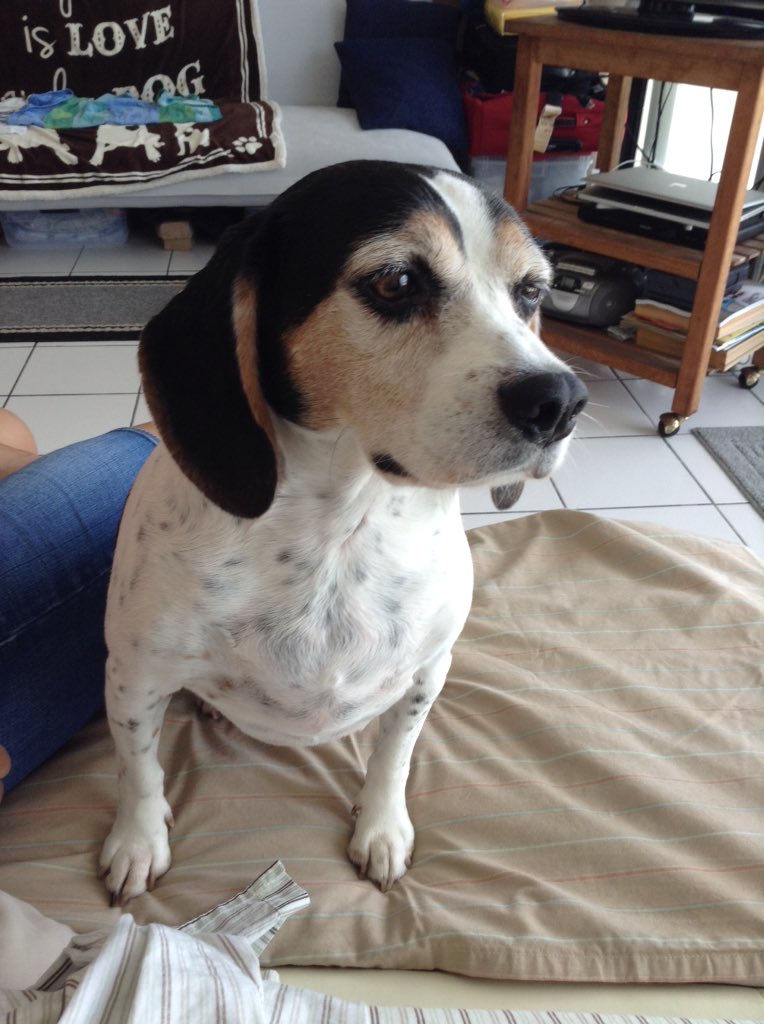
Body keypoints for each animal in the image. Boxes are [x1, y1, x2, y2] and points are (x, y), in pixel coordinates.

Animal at [99, 160, 587, 905]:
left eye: (531, 291)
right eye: (397, 282)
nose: (560, 401)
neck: (337, 531)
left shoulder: (426, 674)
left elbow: (394, 757)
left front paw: (381, 829)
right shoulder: (133, 678)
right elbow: (138, 770)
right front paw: (137, 841)